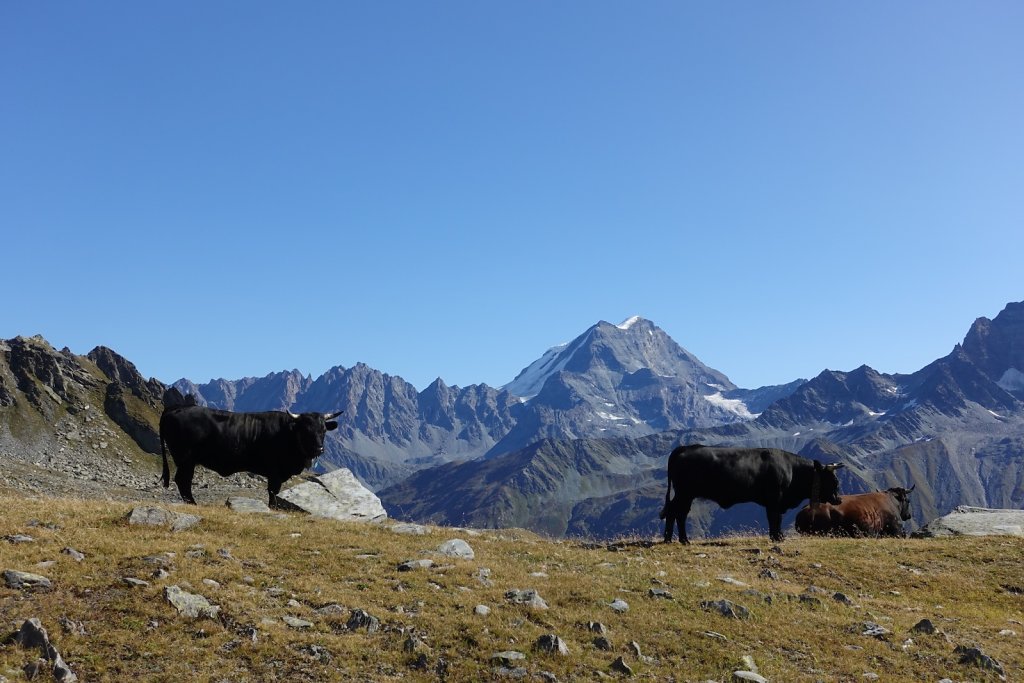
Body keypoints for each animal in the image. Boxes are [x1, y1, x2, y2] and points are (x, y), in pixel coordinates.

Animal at [156, 389, 339, 507]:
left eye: (323, 430)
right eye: (305, 430)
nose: (319, 449)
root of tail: (176, 408)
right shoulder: (275, 472)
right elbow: (273, 492)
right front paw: (273, 508)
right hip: (186, 459)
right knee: (183, 481)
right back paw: (193, 503)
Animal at [659, 444, 843, 544]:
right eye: (834, 481)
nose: (839, 500)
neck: (792, 469)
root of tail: (685, 447)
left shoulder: (776, 501)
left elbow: (776, 519)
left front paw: (777, 536)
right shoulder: (774, 499)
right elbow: (775, 518)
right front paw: (777, 537)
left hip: (685, 494)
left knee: (675, 513)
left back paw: (672, 539)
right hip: (685, 493)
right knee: (677, 513)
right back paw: (681, 540)